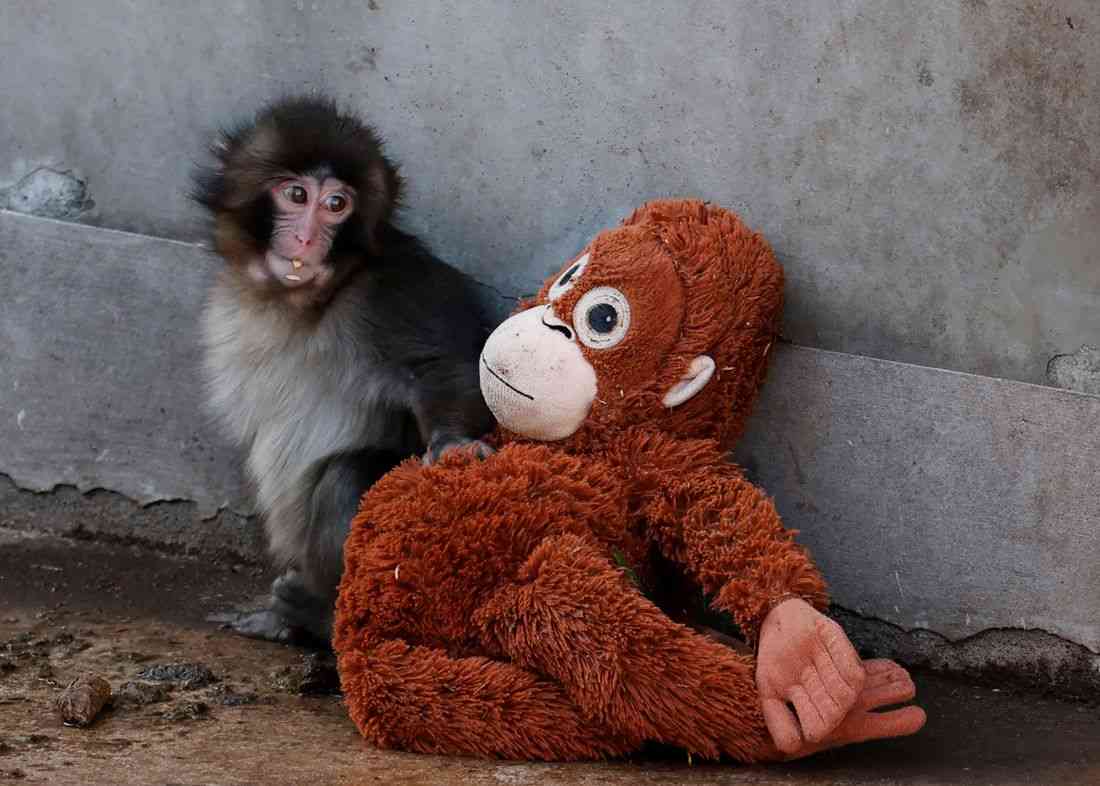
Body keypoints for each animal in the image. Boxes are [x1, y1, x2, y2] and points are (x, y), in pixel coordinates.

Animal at [192, 95, 495, 646]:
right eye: (296, 195)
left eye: (337, 205)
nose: (307, 237)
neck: (303, 302)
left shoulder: (393, 288)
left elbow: (448, 366)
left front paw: (453, 443)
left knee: (345, 477)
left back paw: (317, 616)